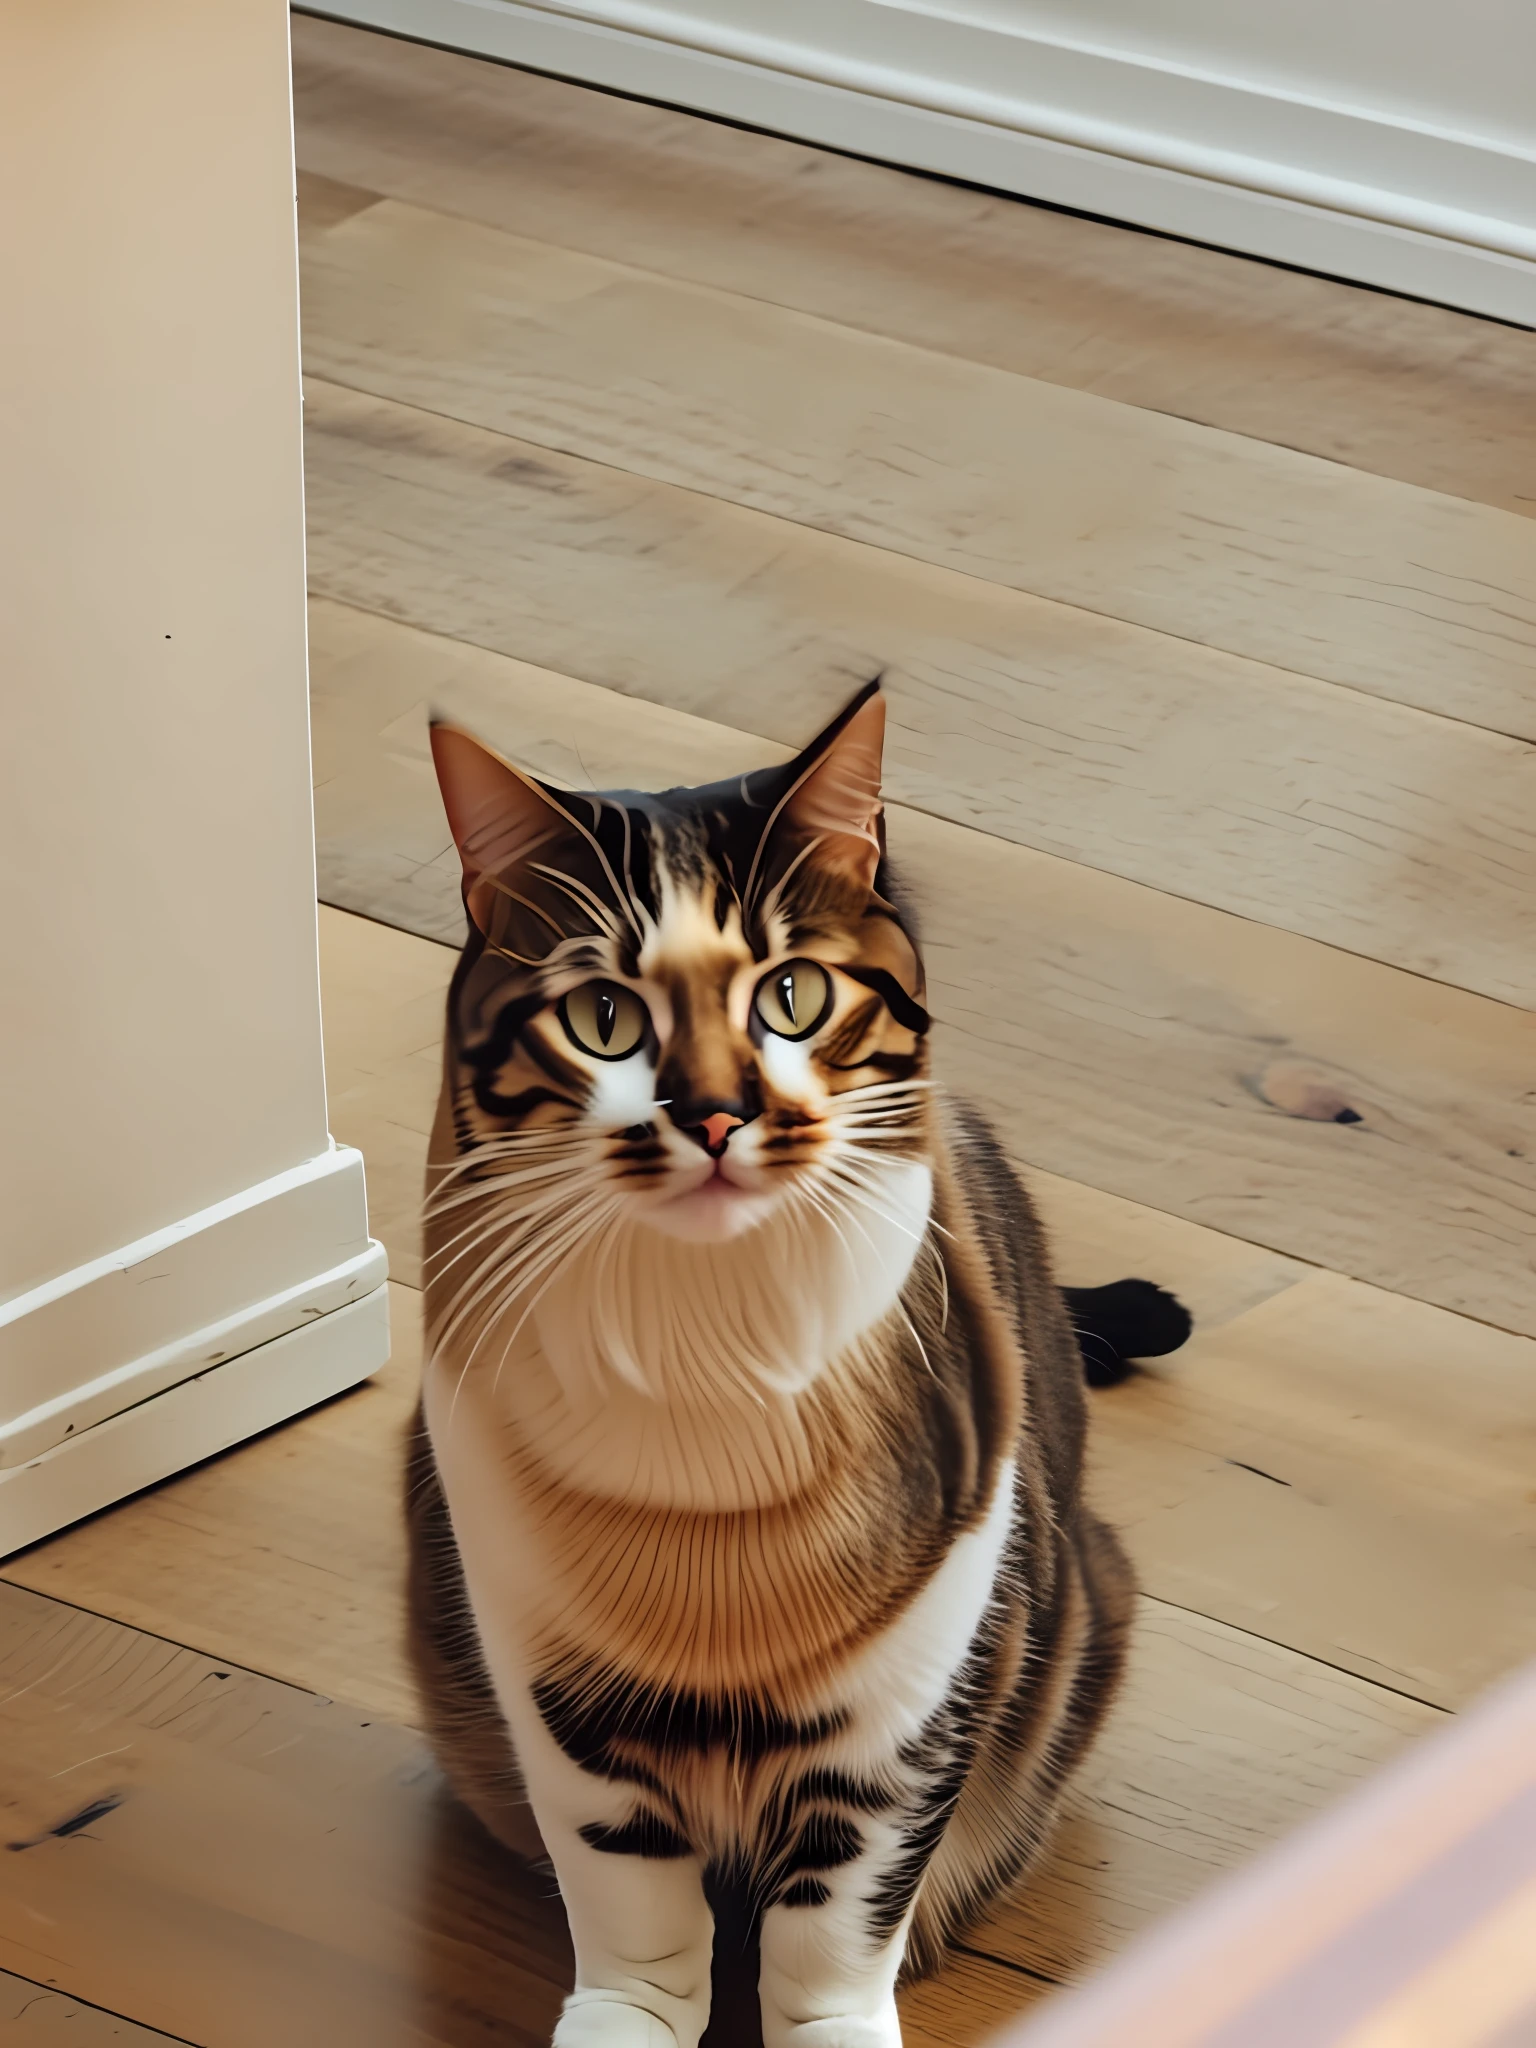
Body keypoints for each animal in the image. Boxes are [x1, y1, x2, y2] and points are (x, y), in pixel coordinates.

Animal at [409, 688, 1187, 2048]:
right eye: (604, 1018)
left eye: (794, 995)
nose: (717, 1114)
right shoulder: (547, 1667)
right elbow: (628, 1904)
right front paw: (626, 2020)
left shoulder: (916, 1693)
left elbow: (838, 1926)